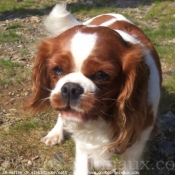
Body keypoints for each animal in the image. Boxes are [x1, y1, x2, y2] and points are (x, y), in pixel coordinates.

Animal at [25, 3, 162, 175]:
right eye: (57, 69)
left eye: (102, 75)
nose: (71, 88)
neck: (103, 117)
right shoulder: (83, 143)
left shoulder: (135, 146)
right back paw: (55, 133)